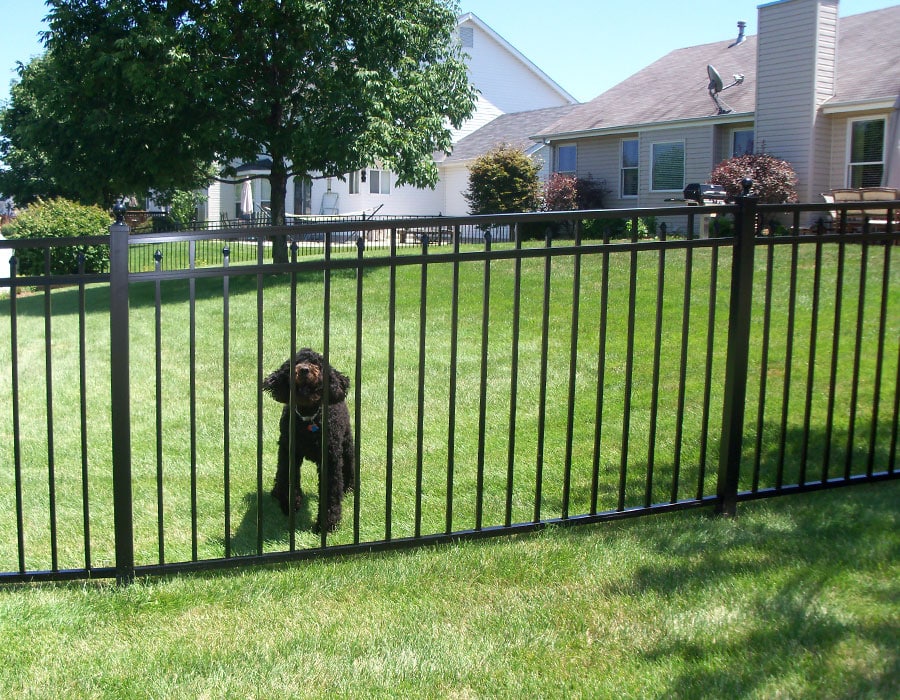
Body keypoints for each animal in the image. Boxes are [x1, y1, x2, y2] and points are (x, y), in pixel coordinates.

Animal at [260, 348, 356, 532]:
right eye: (296, 362)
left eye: (316, 363)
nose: (304, 370)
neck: (308, 418)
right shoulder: (288, 452)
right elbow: (286, 477)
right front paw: (289, 504)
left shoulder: (330, 458)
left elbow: (331, 490)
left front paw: (329, 523)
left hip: (347, 443)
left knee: (348, 464)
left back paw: (348, 487)